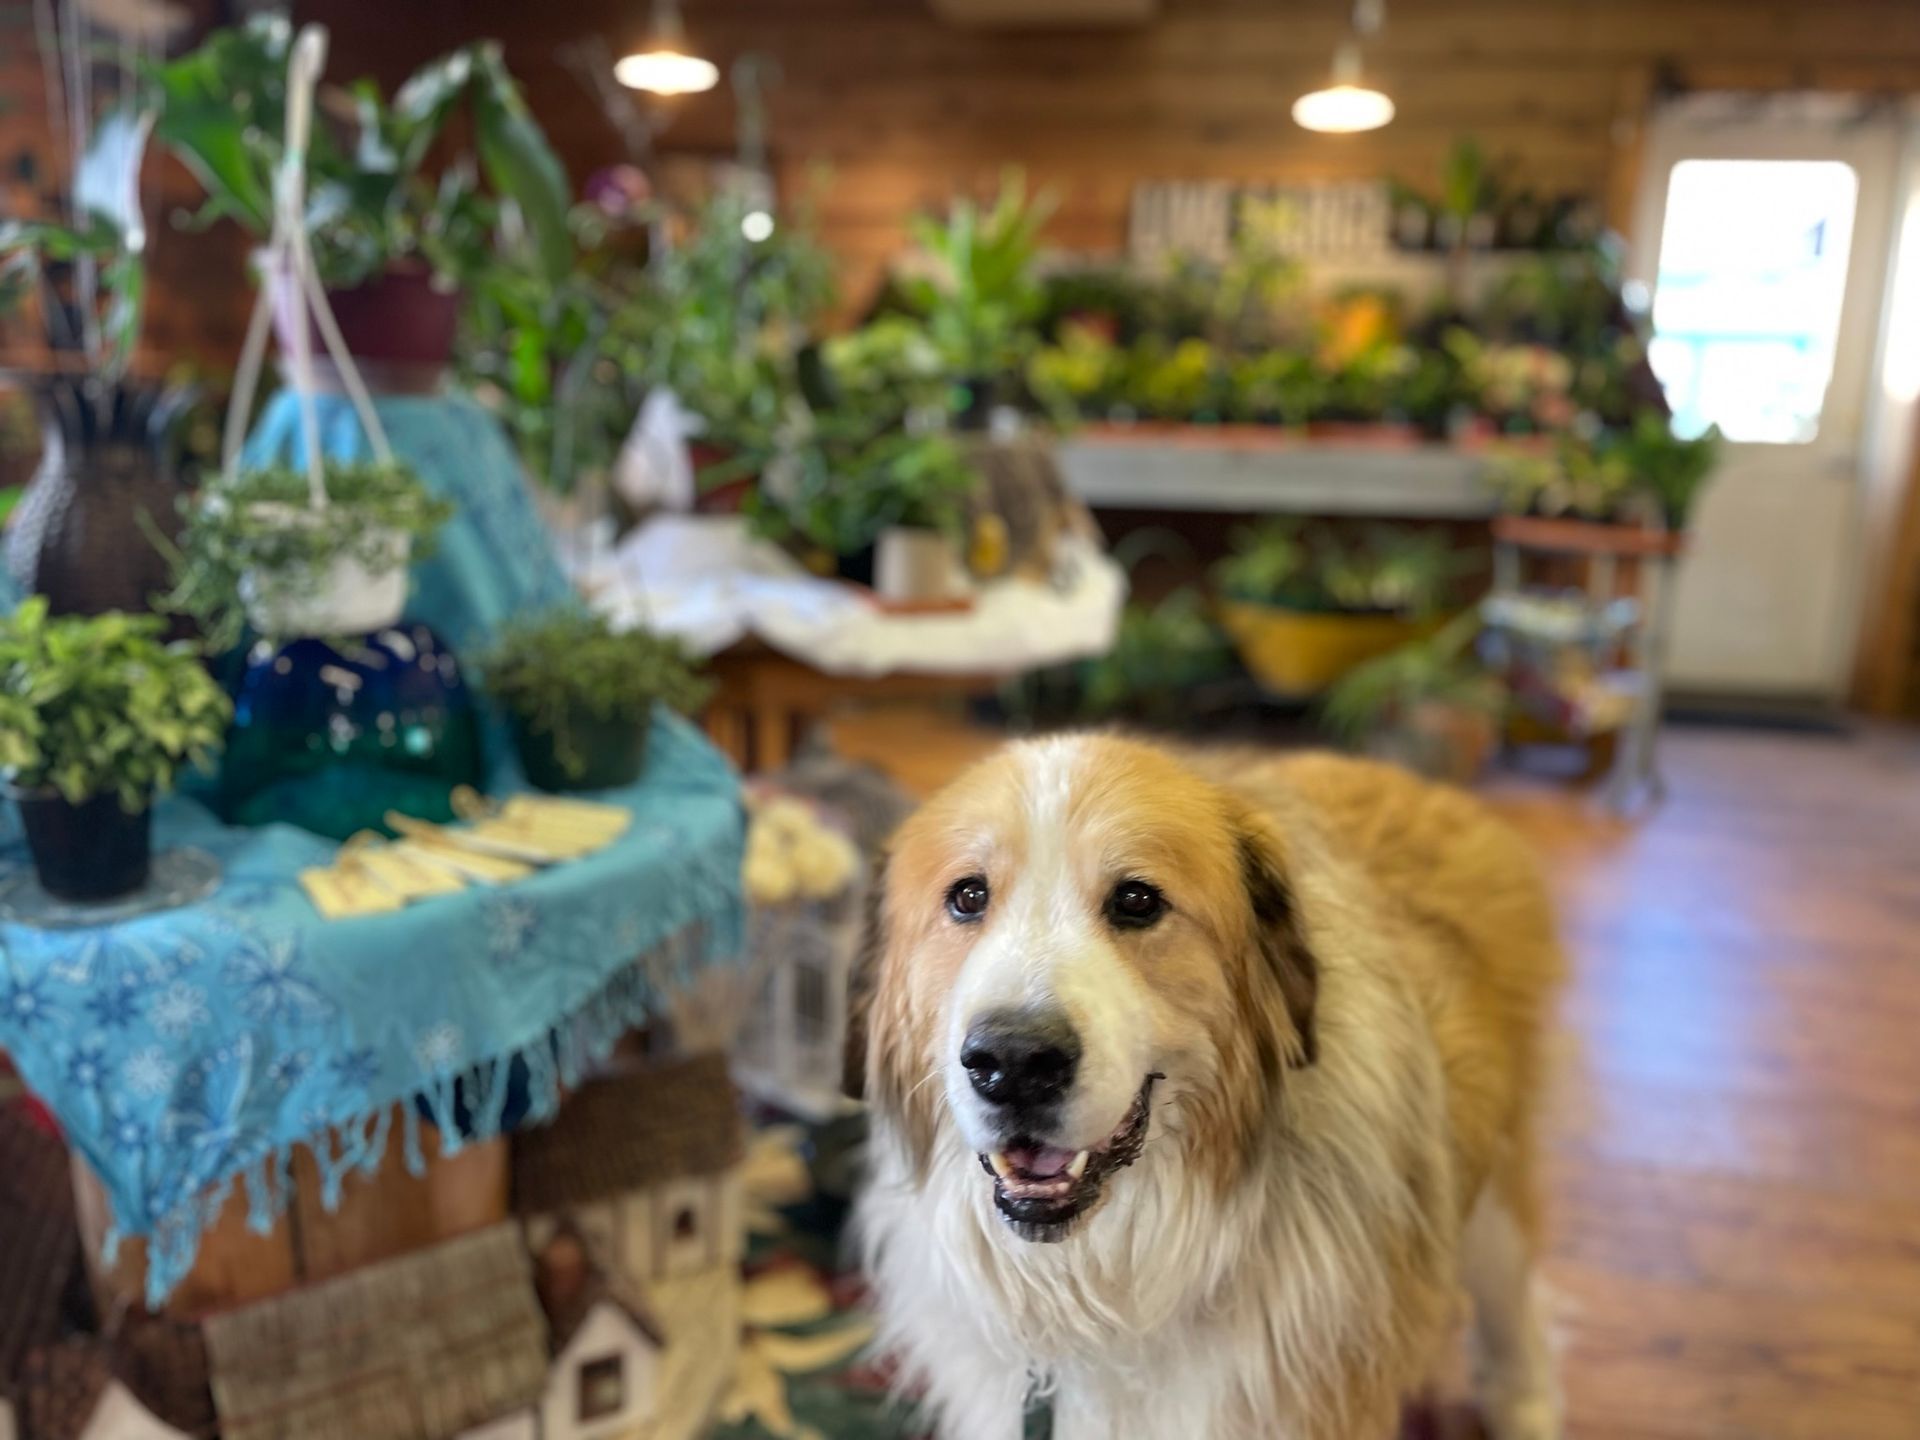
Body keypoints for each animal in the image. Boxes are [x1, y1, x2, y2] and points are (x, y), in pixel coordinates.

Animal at [852, 737, 1559, 1440]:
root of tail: (1412, 780)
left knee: (1517, 1321)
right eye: (969, 897)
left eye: (1137, 901)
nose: (1015, 1061)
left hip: (1494, 1210)